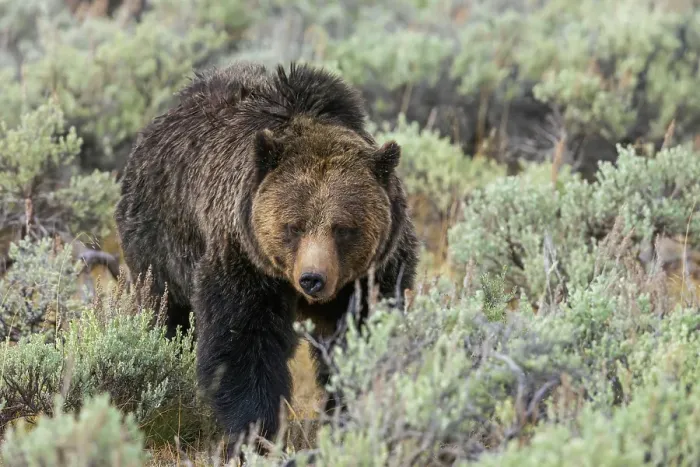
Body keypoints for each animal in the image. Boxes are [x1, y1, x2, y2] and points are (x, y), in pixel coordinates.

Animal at [114, 60, 419, 453]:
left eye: (342, 228)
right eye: (294, 226)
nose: (312, 279)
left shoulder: (374, 277)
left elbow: (362, 340)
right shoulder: (245, 262)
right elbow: (244, 345)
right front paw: (255, 434)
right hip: (159, 243)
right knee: (165, 314)